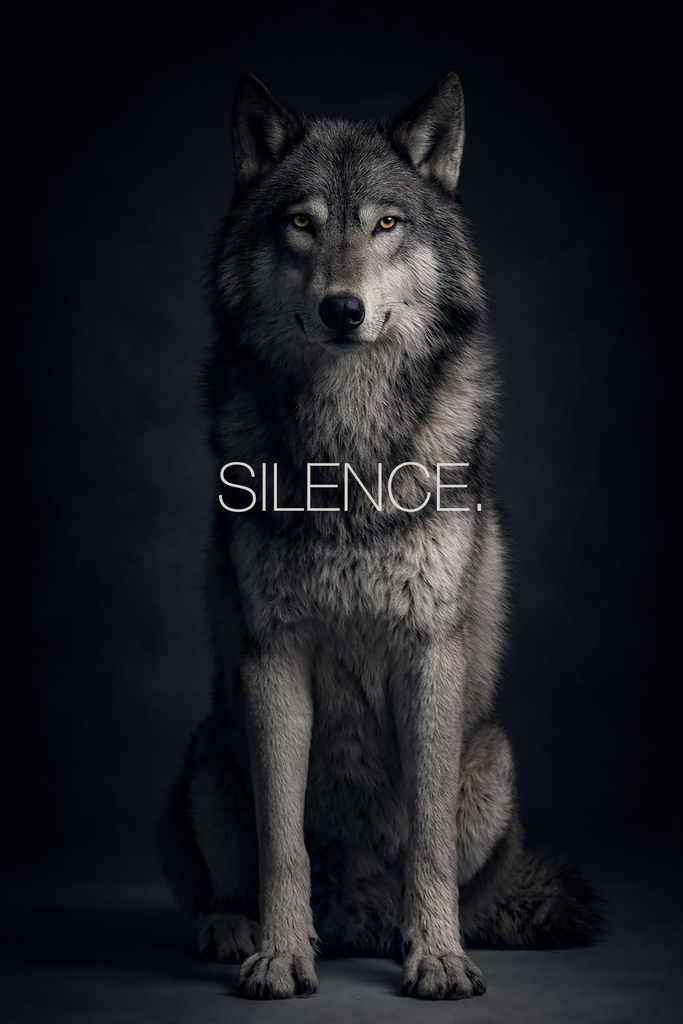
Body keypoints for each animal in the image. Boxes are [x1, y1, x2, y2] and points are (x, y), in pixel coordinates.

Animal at [159, 72, 602, 1001]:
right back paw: (235, 927)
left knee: (461, 882)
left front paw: (435, 956)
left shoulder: (427, 652)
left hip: (491, 759)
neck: (348, 453)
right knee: (216, 883)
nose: (342, 309)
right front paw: (279, 954)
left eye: (386, 224)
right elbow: (281, 842)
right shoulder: (272, 657)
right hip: (209, 754)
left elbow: (425, 841)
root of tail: (354, 919)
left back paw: (421, 931)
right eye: (302, 222)